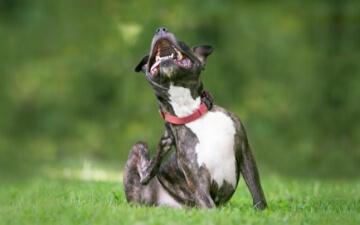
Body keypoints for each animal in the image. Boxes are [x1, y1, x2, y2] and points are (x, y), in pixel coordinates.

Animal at [124, 27, 268, 209]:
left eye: (183, 42)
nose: (160, 29)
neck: (190, 112)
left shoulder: (245, 152)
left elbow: (257, 192)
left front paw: (262, 211)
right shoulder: (197, 180)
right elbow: (208, 205)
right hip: (138, 149)